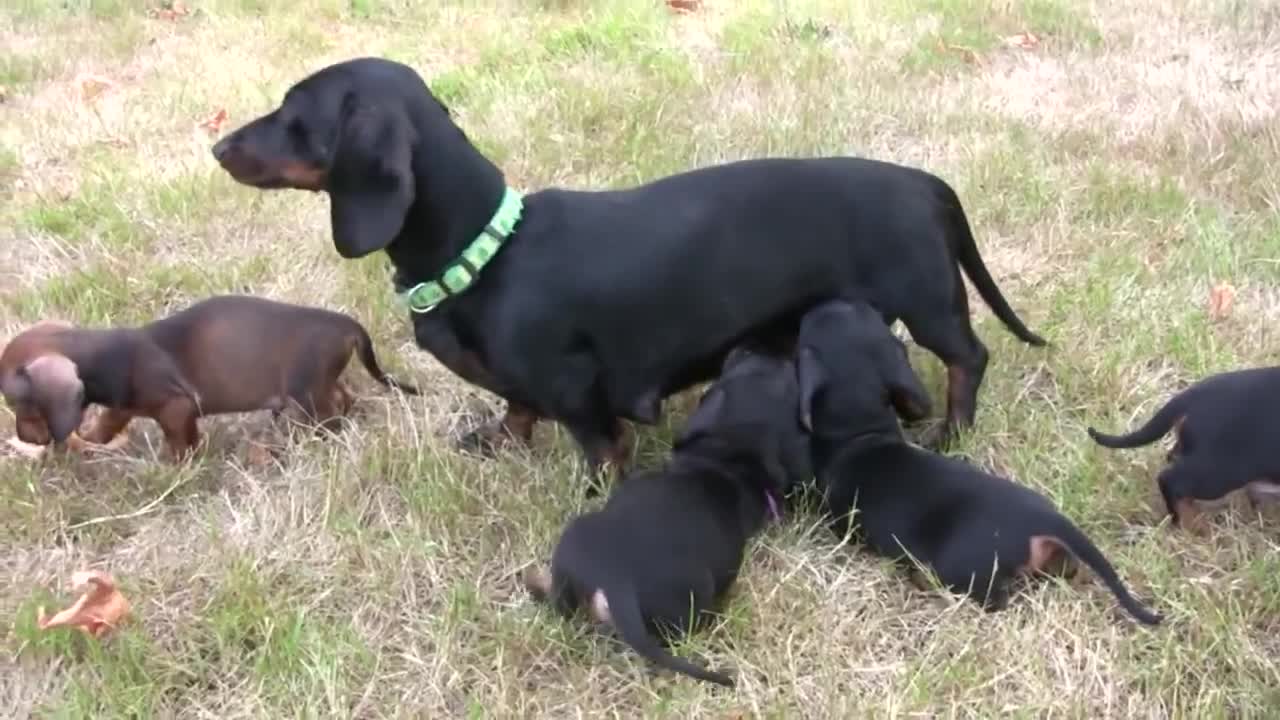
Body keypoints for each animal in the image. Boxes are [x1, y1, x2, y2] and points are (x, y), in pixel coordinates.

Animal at [0, 293, 419, 456]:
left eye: (15, 400)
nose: (25, 438)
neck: (105, 357)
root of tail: (346, 324)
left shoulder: (176, 406)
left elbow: (178, 440)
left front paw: (175, 467)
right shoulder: (126, 405)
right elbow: (109, 422)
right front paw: (91, 438)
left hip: (307, 390)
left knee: (329, 412)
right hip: (319, 384)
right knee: (346, 396)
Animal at [212, 57, 1049, 476]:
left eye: (295, 114)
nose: (216, 145)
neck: (488, 250)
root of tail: (925, 182)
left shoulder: (578, 391)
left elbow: (600, 449)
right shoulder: (526, 385)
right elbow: (516, 409)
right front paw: (499, 438)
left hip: (928, 299)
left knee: (969, 357)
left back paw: (954, 430)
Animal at [519, 345, 808, 681]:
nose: (750, 347)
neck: (723, 455)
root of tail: (616, 582)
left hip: (573, 546)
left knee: (560, 606)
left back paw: (535, 583)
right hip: (696, 595)